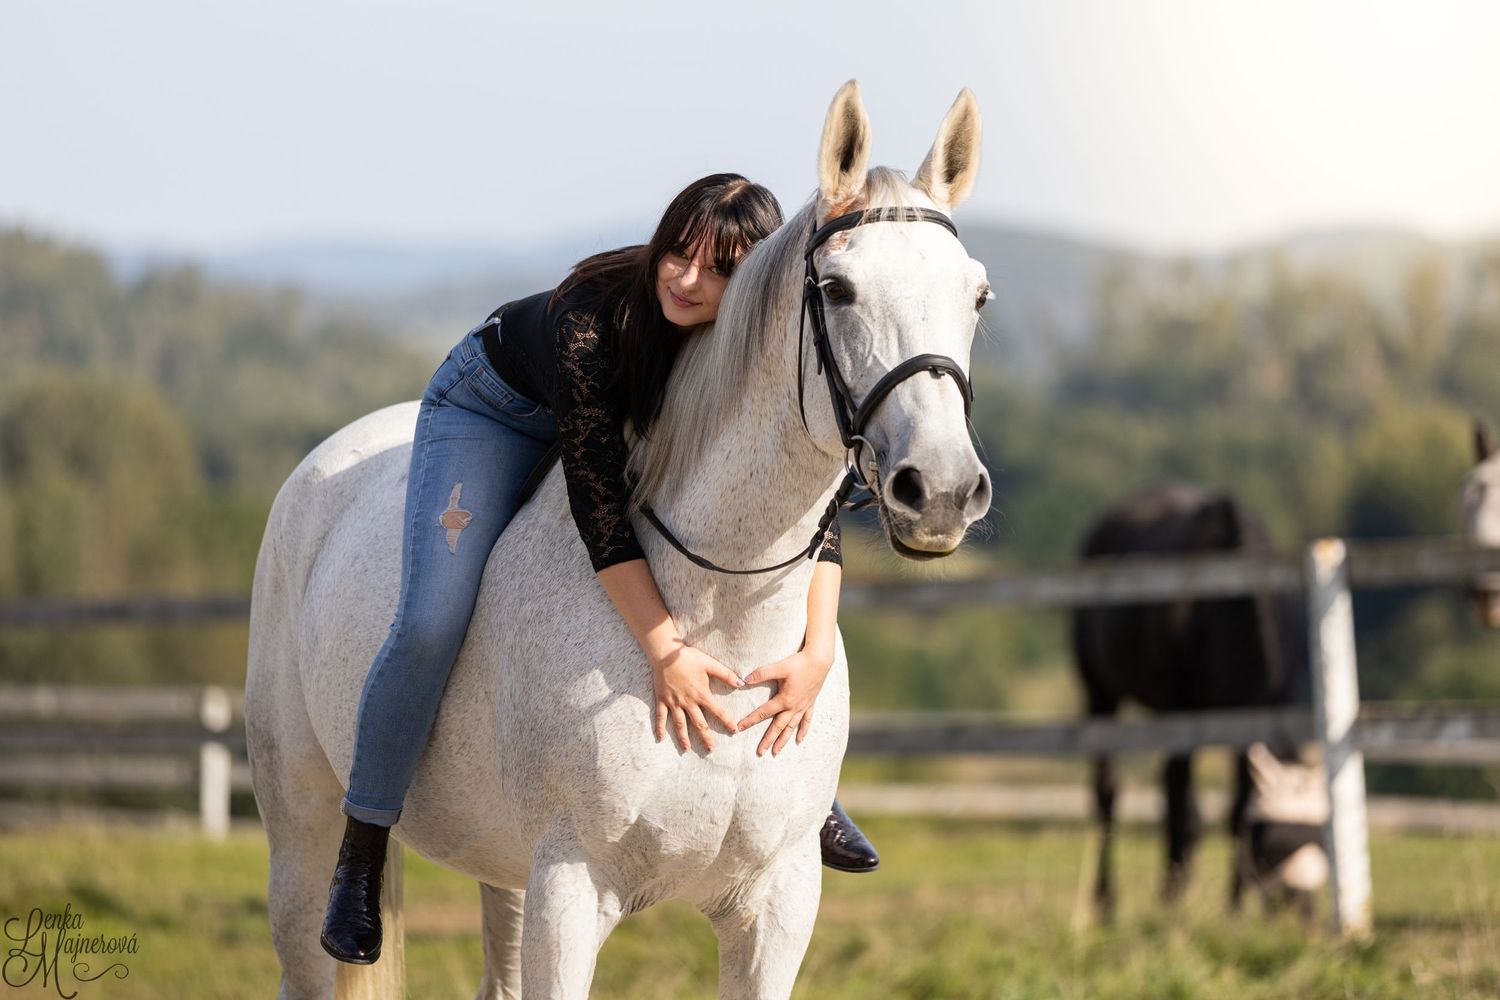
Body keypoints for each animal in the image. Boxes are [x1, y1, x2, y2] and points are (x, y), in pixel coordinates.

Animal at [246, 80, 993, 1000]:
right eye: (840, 288)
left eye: (977, 296)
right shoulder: (572, 890)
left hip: (506, 873)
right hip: (305, 835)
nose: (943, 491)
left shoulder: (777, 909)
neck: (724, 623)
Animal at [1069, 483, 1317, 919]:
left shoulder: (1245, 720)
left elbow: (1235, 810)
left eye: (1319, 833)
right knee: (1109, 792)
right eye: (1276, 842)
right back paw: (1107, 898)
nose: (1305, 912)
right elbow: (1183, 810)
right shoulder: (1181, 711)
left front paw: (1233, 906)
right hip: (1100, 693)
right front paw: (1173, 899)